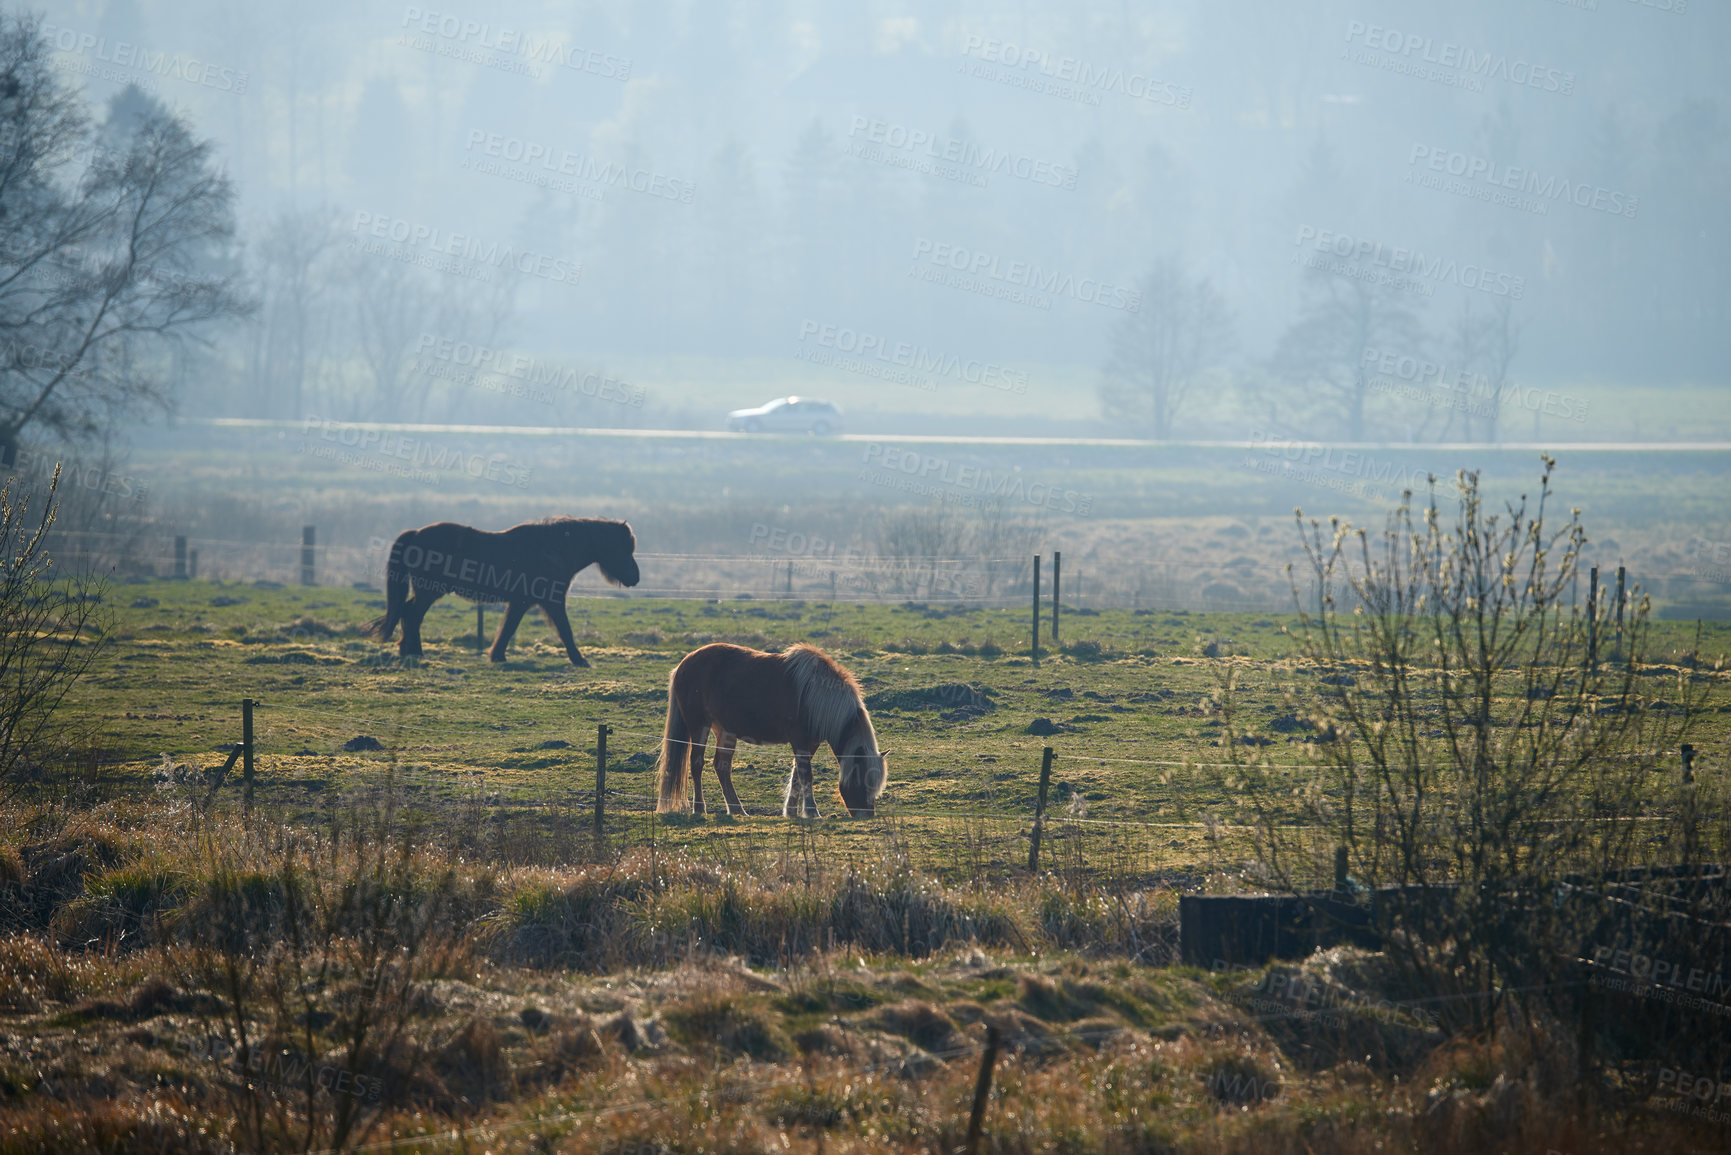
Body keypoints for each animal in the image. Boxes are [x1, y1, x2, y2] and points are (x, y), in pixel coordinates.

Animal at [368, 516, 640, 668]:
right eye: (623, 548)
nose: (635, 577)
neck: (552, 549)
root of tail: (416, 534)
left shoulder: (522, 602)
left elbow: (509, 627)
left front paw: (497, 656)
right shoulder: (551, 601)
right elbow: (565, 630)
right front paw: (580, 660)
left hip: (427, 592)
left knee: (407, 612)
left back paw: (408, 650)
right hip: (429, 591)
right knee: (412, 615)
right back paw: (415, 651)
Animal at [650, 640, 886, 820]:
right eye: (861, 780)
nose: (866, 815)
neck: (815, 695)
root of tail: (682, 665)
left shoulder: (810, 744)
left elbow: (797, 776)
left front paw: (791, 811)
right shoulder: (799, 740)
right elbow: (806, 775)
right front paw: (811, 811)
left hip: (725, 732)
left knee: (722, 767)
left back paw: (737, 809)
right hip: (699, 726)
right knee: (697, 763)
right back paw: (700, 808)